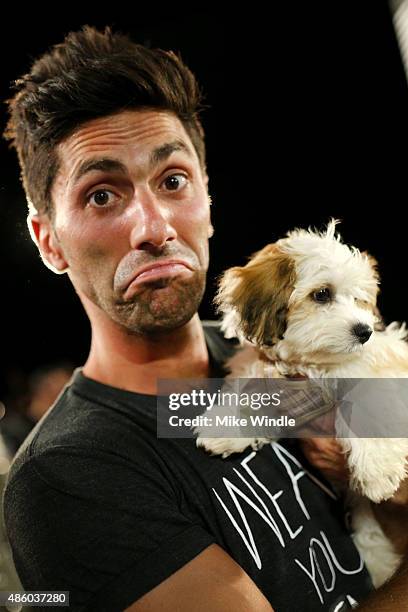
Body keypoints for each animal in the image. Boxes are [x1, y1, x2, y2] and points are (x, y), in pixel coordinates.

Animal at [197, 221, 408, 588]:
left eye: (359, 300)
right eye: (321, 294)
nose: (364, 331)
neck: (311, 367)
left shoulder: (381, 372)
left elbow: (366, 404)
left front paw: (378, 472)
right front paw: (226, 427)